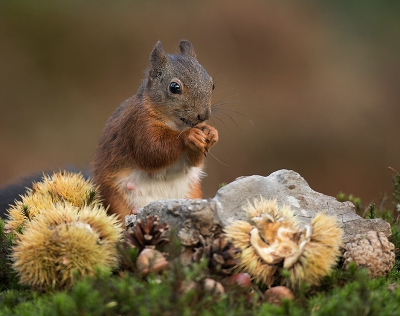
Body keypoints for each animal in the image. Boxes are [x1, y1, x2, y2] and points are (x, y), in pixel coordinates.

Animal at [92, 39, 219, 223]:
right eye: (174, 87)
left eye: (212, 84)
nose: (203, 115)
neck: (175, 125)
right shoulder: (137, 125)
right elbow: (151, 151)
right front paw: (189, 136)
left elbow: (193, 162)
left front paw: (211, 132)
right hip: (116, 200)